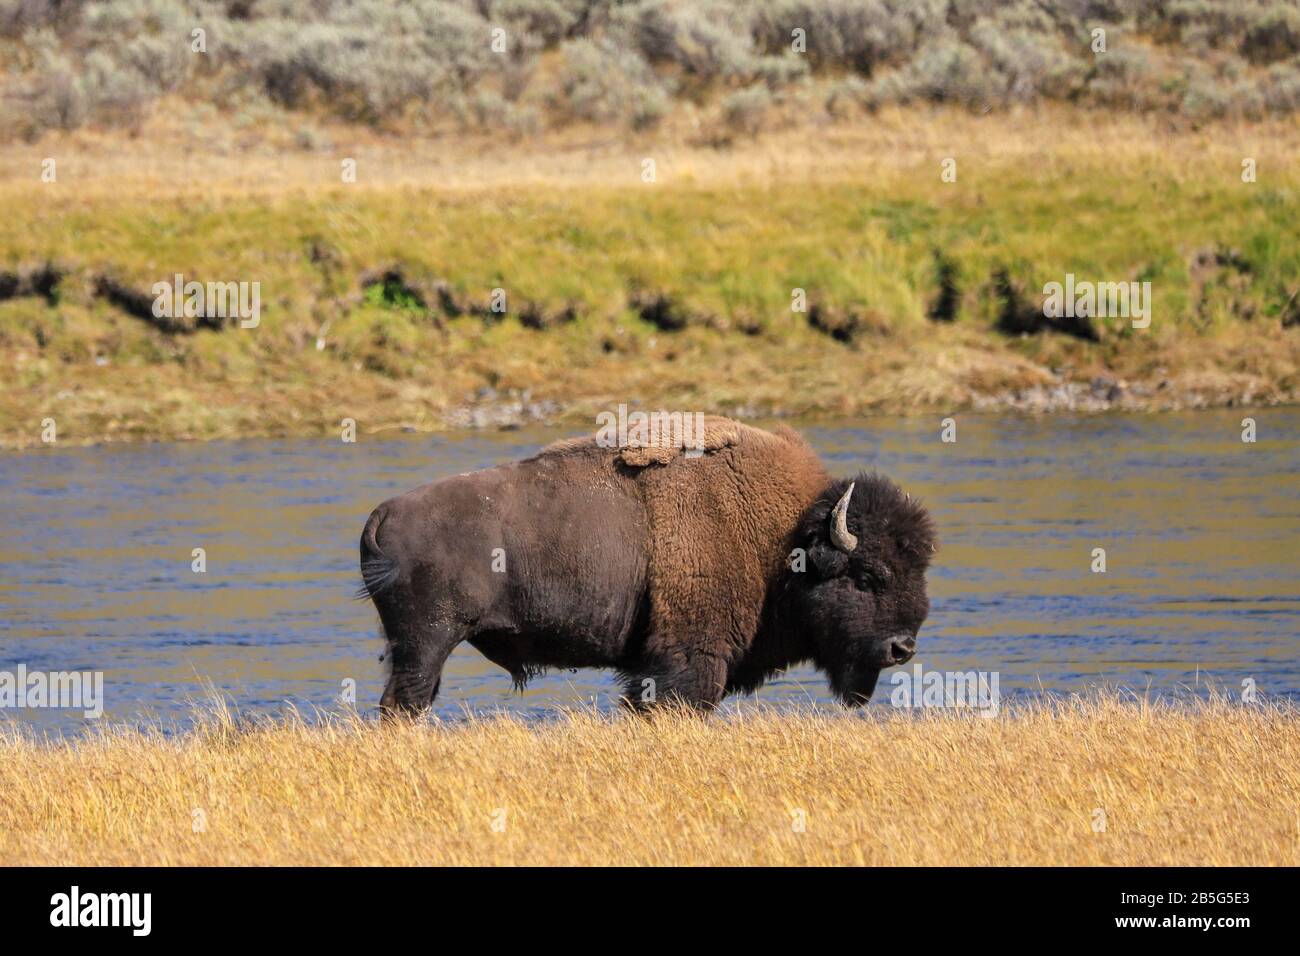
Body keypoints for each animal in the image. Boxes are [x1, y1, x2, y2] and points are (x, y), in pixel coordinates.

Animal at [358, 416, 935, 712]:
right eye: (868, 576)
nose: (902, 649)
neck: (783, 539)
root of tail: (383, 513)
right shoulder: (688, 659)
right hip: (427, 642)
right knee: (405, 701)